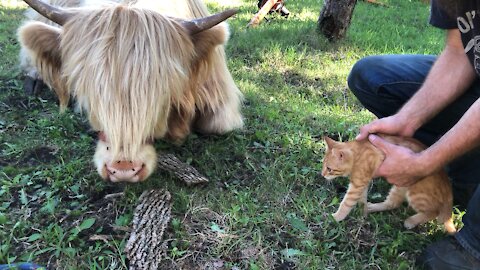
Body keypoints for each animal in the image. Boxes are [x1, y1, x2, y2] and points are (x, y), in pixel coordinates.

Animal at [320, 135, 456, 234]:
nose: (322, 175)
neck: (358, 153)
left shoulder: (357, 184)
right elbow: (362, 199)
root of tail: (448, 190)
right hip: (400, 186)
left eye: (329, 169)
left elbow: (346, 203)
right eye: (323, 165)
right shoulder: (362, 182)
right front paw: (363, 212)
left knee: (433, 212)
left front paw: (336, 217)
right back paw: (372, 207)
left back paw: (411, 221)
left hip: (416, 194)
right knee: (393, 203)